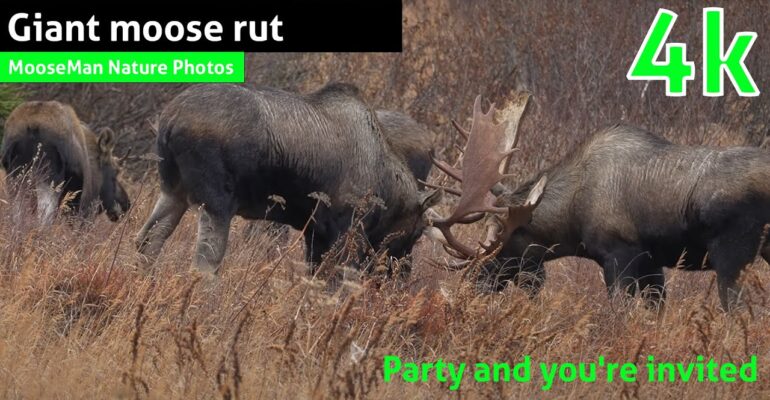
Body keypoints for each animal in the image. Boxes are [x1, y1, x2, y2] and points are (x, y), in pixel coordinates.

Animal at [0, 101, 130, 222]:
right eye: (115, 174)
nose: (126, 205)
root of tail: (33, 127)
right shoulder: (82, 209)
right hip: (49, 179)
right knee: (44, 216)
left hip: (17, 178)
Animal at [135, 83, 440, 276]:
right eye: (417, 232)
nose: (400, 276)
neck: (387, 189)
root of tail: (170, 121)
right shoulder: (347, 230)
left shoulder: (316, 232)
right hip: (216, 202)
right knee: (205, 263)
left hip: (173, 191)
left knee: (146, 241)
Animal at [432, 94, 770, 312]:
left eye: (499, 250)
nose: (472, 287)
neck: (572, 221)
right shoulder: (651, 263)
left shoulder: (619, 255)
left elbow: (619, 314)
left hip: (732, 254)